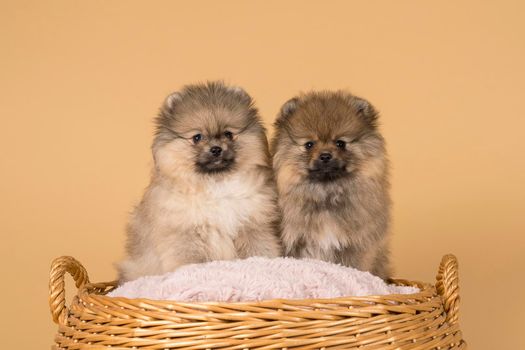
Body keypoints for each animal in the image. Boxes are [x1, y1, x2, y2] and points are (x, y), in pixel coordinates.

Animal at [117, 80, 282, 280]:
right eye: (197, 137)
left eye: (228, 134)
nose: (216, 149)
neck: (215, 184)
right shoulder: (185, 234)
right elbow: (191, 262)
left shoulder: (252, 225)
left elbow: (259, 251)